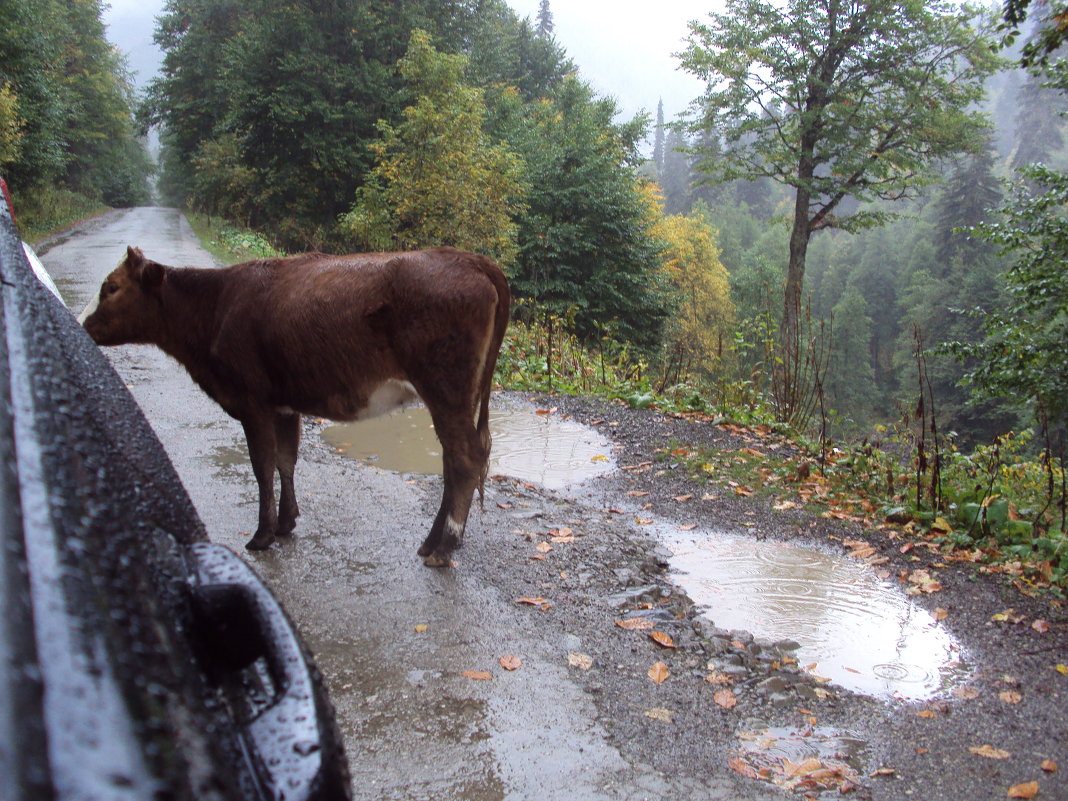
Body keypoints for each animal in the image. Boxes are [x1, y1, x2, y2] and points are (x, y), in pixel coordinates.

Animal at [83, 247, 508, 568]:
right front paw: (286, 522)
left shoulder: (252, 402)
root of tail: (467, 257)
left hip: (445, 388)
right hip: (458, 396)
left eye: (112, 287)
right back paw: (431, 541)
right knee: (453, 460)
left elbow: (262, 465)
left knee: (464, 458)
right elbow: (286, 459)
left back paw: (444, 547)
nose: (82, 325)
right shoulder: (283, 406)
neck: (217, 306)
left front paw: (262, 534)